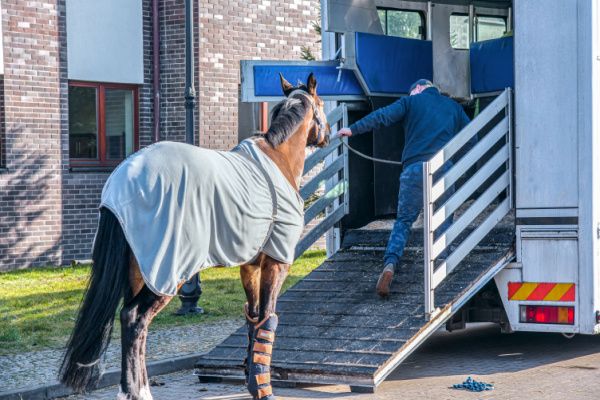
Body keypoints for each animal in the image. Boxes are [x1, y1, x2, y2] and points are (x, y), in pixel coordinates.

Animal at [59, 73, 330, 398]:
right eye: (322, 104)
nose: (328, 136)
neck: (278, 157)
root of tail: (120, 184)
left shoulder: (250, 265)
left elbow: (253, 318)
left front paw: (253, 381)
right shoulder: (277, 261)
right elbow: (268, 316)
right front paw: (263, 388)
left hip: (138, 271)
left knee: (133, 324)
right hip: (166, 271)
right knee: (135, 319)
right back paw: (137, 391)